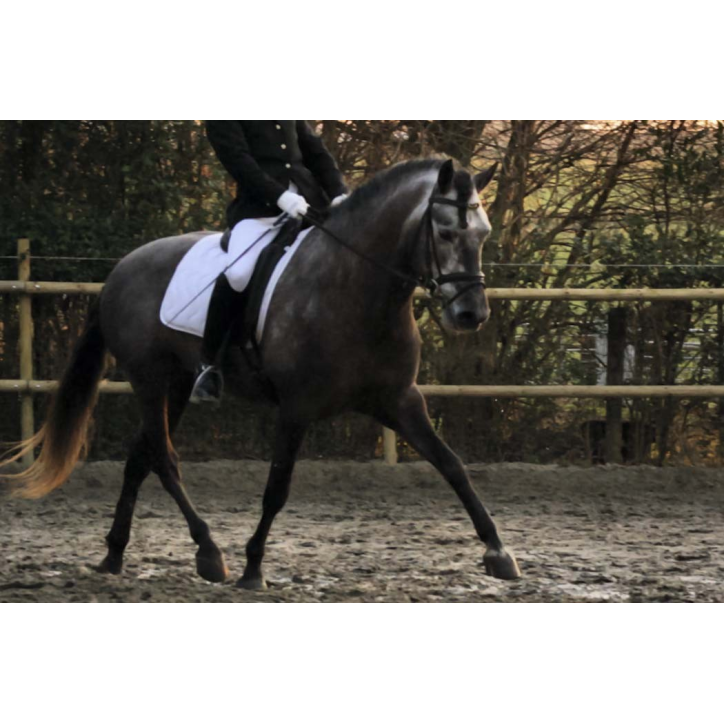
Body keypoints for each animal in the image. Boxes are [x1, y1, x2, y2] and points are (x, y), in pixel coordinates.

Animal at [2, 158, 520, 588]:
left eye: (484, 234)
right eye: (446, 232)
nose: (471, 315)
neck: (356, 287)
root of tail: (121, 269)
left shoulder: (400, 401)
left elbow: (453, 466)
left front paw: (499, 552)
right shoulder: (296, 407)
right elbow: (276, 488)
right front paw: (253, 568)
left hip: (176, 385)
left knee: (140, 457)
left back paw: (114, 554)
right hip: (148, 378)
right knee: (164, 460)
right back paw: (209, 553)